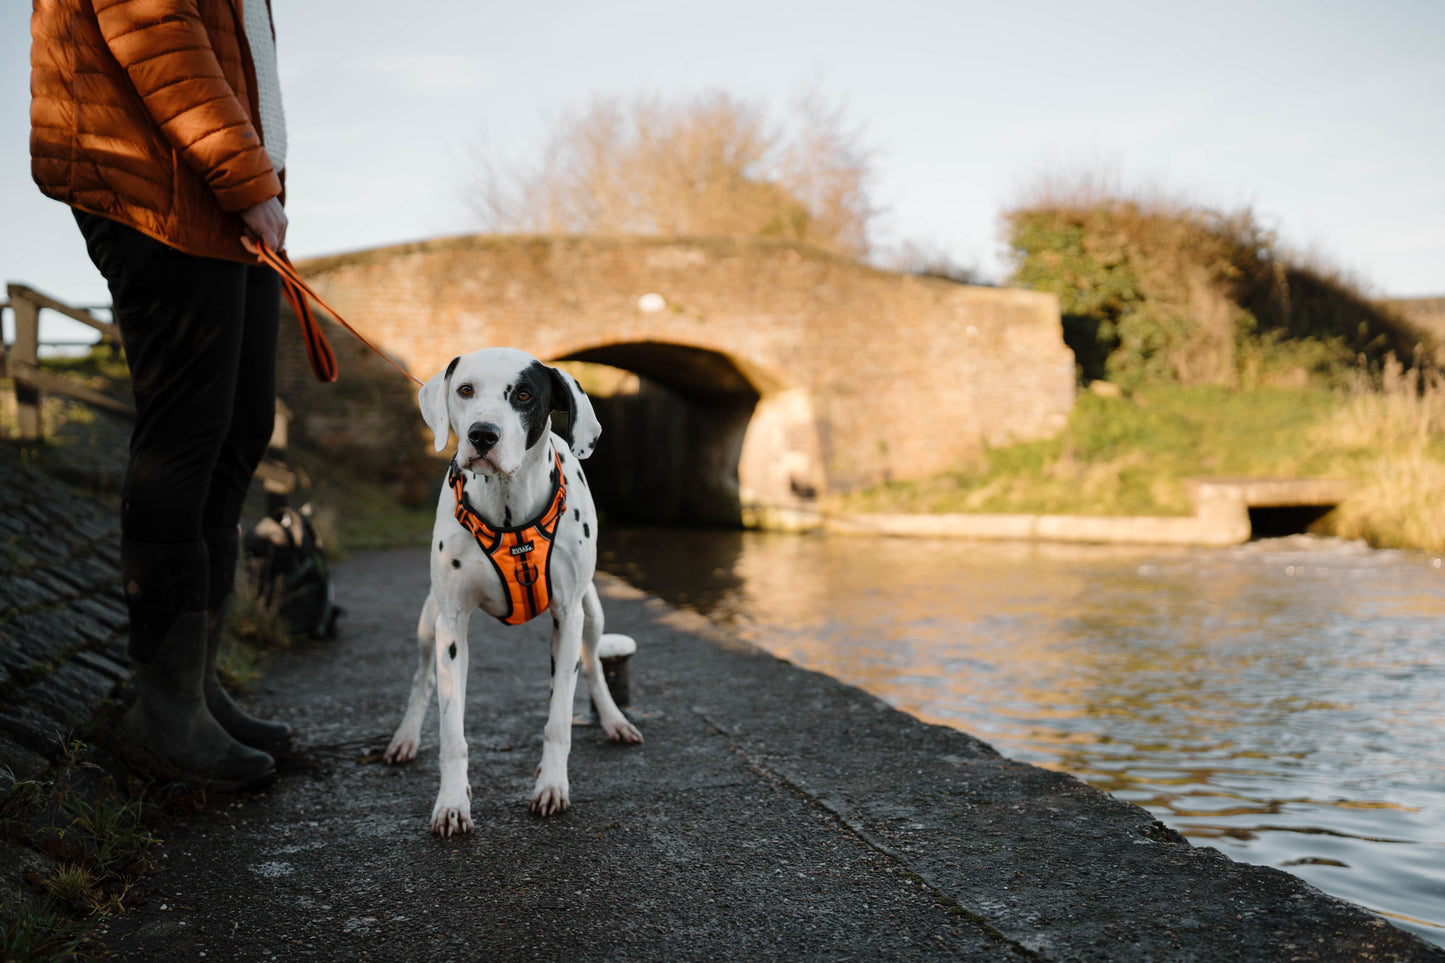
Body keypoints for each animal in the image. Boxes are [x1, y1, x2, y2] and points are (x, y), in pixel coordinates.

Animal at [381, 347, 641, 832]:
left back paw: (614, 721)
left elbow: (558, 718)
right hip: (430, 622)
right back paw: (405, 738)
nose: (482, 435)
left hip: (592, 614)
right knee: (422, 678)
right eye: (465, 389)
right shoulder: (452, 626)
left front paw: (552, 786)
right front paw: (452, 802)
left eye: (523, 395)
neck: (508, 508)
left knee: (593, 665)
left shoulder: (568, 616)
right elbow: (452, 730)